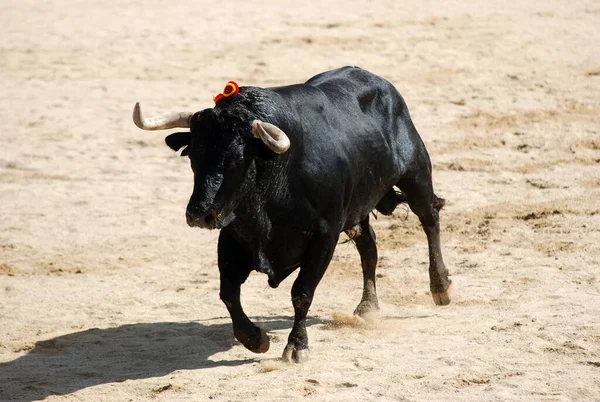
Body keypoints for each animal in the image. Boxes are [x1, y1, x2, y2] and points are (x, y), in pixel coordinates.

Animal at [134, 67, 452, 362]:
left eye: (237, 159)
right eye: (193, 156)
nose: (200, 214)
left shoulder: (324, 236)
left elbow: (301, 292)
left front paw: (297, 346)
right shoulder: (232, 235)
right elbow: (228, 292)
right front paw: (254, 338)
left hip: (416, 172)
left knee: (429, 218)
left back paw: (440, 286)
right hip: (358, 206)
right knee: (369, 247)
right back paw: (367, 307)